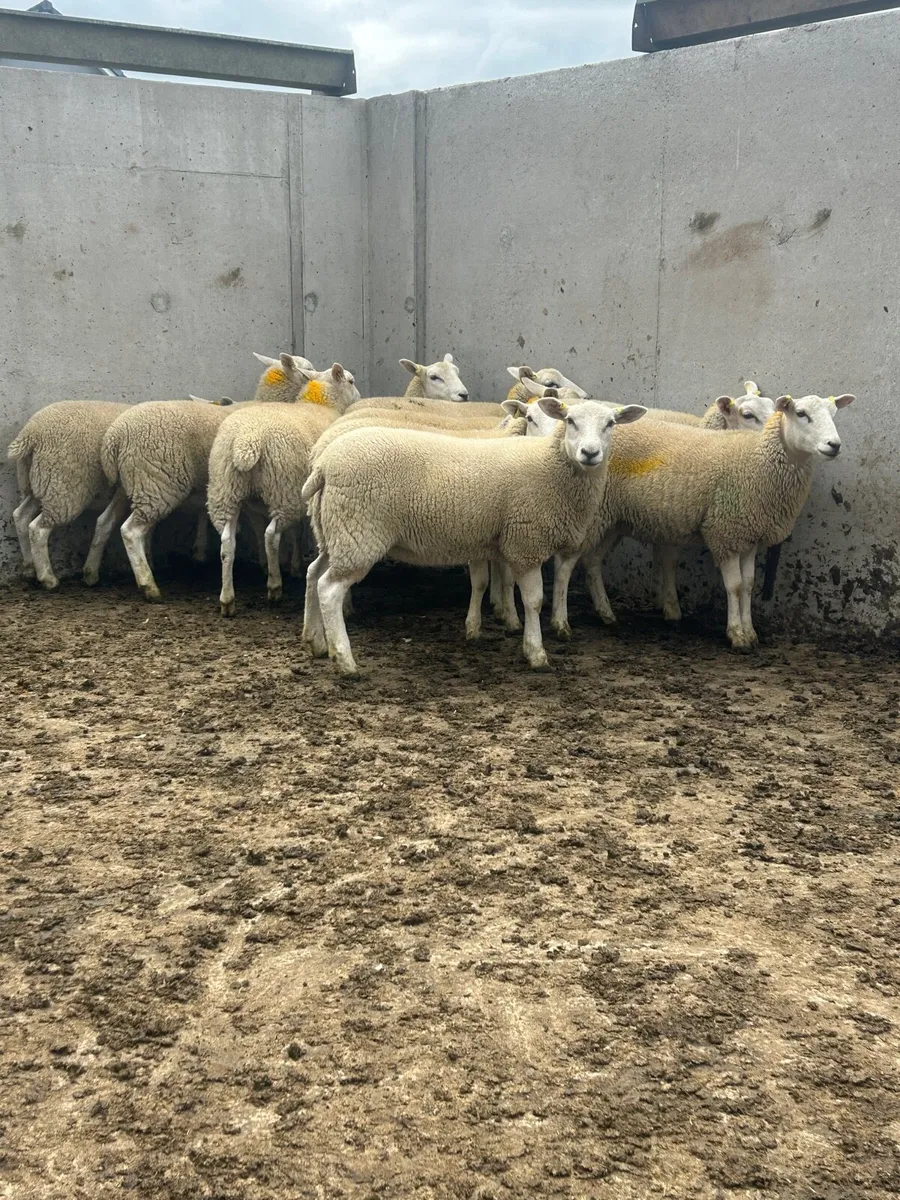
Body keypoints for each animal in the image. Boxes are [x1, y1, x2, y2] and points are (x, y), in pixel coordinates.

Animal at [207, 363, 361, 616]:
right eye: (351, 380)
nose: (359, 396)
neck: (322, 404)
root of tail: (246, 441)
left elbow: (294, 532)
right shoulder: (304, 495)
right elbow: (297, 533)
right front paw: (297, 566)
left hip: (225, 489)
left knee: (227, 542)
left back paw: (227, 600)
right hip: (283, 490)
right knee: (271, 536)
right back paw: (274, 586)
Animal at [300, 396, 647, 677]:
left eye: (611, 423)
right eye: (570, 420)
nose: (590, 453)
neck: (552, 466)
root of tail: (324, 465)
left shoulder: (498, 542)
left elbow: (491, 584)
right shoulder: (525, 542)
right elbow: (533, 601)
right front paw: (536, 653)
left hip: (335, 532)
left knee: (313, 573)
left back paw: (316, 642)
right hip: (358, 531)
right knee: (329, 589)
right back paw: (345, 662)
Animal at [577, 393, 854, 650]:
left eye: (834, 413)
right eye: (801, 413)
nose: (834, 445)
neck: (758, 461)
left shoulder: (749, 535)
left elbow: (749, 585)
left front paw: (750, 632)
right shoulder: (725, 532)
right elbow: (734, 586)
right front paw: (737, 635)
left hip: (613, 521)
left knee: (592, 561)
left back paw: (606, 613)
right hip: (591, 515)